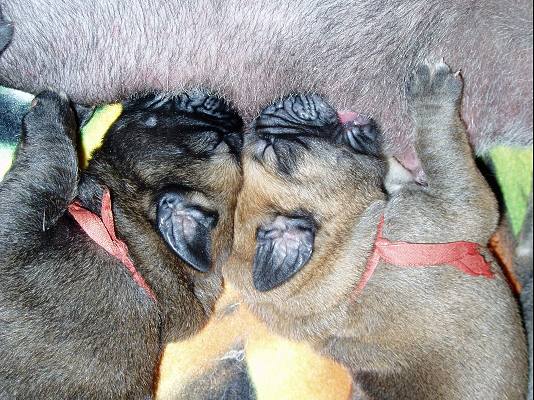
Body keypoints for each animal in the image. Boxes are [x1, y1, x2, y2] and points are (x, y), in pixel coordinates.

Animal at [0, 89, 243, 398]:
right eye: (225, 141)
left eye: (214, 141)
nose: (228, 107)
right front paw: (78, 109)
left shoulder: (18, 220)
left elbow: (51, 171)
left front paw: (51, 108)